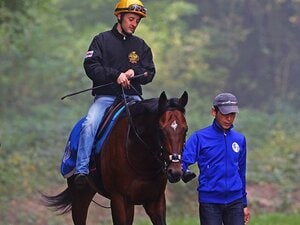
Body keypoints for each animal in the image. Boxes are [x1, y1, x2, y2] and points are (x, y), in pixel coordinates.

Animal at [42, 91, 188, 225]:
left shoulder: (155, 200)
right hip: (80, 194)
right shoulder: (119, 199)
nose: (175, 171)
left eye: (185, 129)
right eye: (161, 130)